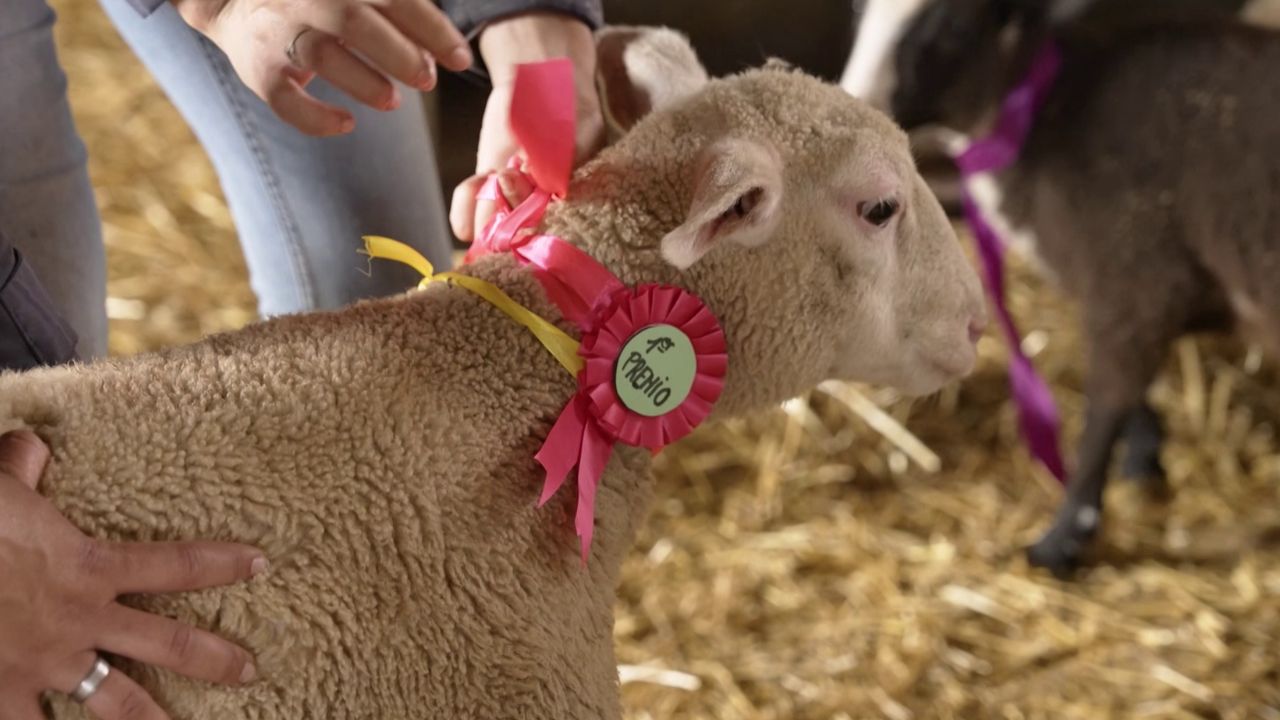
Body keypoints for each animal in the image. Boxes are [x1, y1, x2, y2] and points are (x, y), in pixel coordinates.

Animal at [841, 0, 1280, 575]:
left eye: (955, 24)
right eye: (858, 11)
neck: (1043, 116)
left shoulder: (1137, 278)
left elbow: (1104, 411)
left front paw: (1063, 540)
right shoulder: (1117, 293)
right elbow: (1132, 395)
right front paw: (1144, 453)